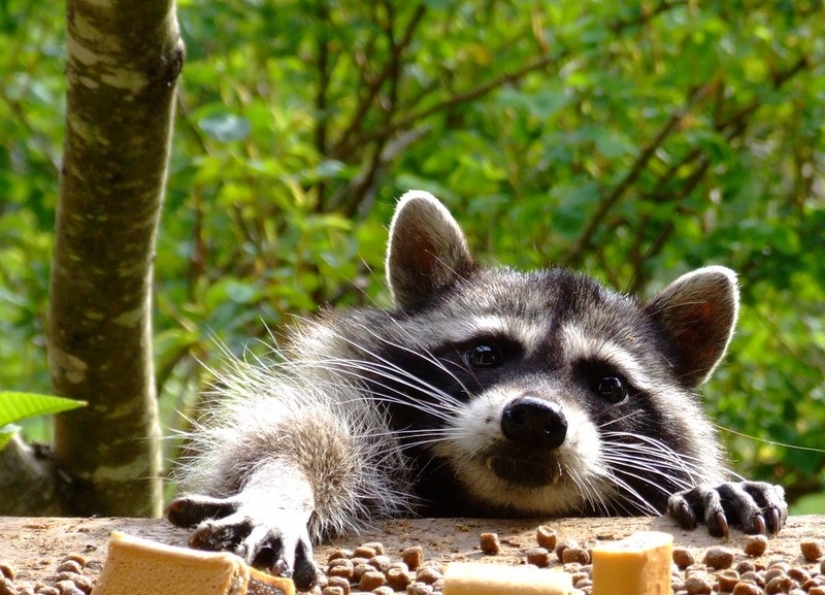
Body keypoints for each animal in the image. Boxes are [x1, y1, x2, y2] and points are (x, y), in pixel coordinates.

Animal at [168, 191, 787, 590]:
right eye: (485, 355)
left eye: (609, 385)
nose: (536, 418)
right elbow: (300, 436)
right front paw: (282, 486)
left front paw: (712, 486)